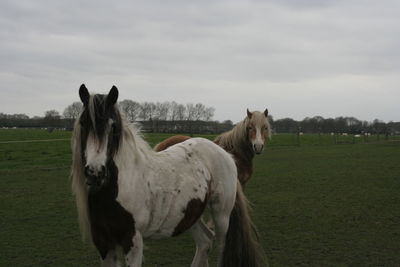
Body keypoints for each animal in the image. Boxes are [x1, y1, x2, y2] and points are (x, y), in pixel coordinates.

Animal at [71, 85, 266, 267]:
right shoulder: (104, 245)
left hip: (221, 217)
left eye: (113, 127)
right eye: (83, 123)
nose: (95, 172)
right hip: (190, 215)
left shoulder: (133, 243)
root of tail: (225, 154)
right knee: (205, 242)